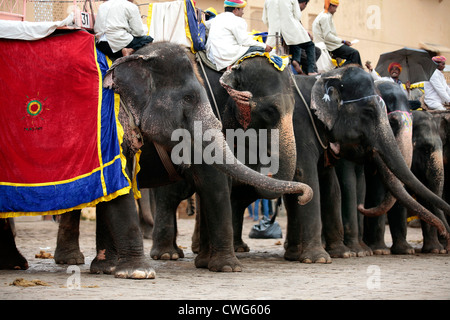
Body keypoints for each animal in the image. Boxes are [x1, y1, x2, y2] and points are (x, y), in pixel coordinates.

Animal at [284, 66, 450, 264]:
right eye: (424, 149)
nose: (446, 235)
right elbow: (349, 184)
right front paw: (362, 251)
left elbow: (366, 185)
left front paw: (396, 251)